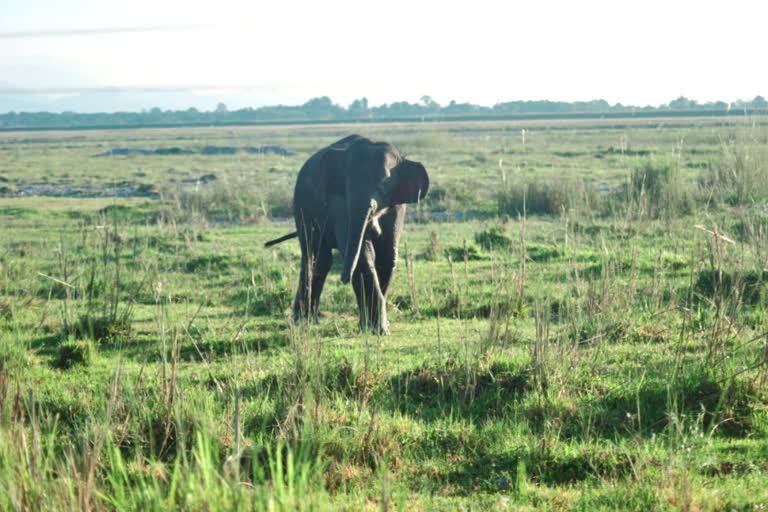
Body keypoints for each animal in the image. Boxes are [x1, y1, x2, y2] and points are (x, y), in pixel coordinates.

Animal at [266, 134, 428, 334]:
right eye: (347, 186)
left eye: (383, 185)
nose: (344, 278)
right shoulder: (340, 204)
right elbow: (363, 257)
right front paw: (376, 330)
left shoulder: (397, 206)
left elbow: (387, 256)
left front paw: (377, 328)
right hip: (300, 205)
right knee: (313, 256)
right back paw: (302, 321)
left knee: (321, 260)